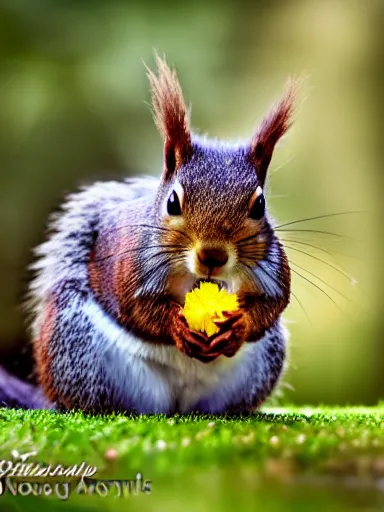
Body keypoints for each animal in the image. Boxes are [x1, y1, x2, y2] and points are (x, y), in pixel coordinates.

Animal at [0, 56, 296, 414]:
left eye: (259, 205)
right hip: (80, 349)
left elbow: (272, 305)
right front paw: (173, 325)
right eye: (172, 202)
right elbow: (136, 307)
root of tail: (177, 404)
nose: (213, 256)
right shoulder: (129, 264)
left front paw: (240, 326)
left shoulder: (273, 268)